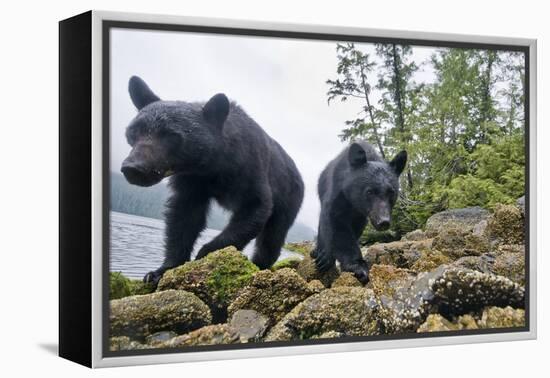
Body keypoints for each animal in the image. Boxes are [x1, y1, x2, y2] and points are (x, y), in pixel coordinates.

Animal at [122, 76, 306, 284]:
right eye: (133, 131)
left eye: (171, 135)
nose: (133, 168)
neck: (212, 165)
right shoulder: (192, 180)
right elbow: (184, 217)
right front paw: (160, 270)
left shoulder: (250, 167)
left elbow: (255, 208)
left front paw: (205, 254)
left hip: (289, 197)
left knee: (272, 236)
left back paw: (260, 265)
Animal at [312, 141, 408, 284]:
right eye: (369, 191)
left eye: (391, 192)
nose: (383, 221)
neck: (354, 203)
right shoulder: (338, 193)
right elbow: (336, 224)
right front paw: (357, 267)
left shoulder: (361, 215)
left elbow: (354, 229)